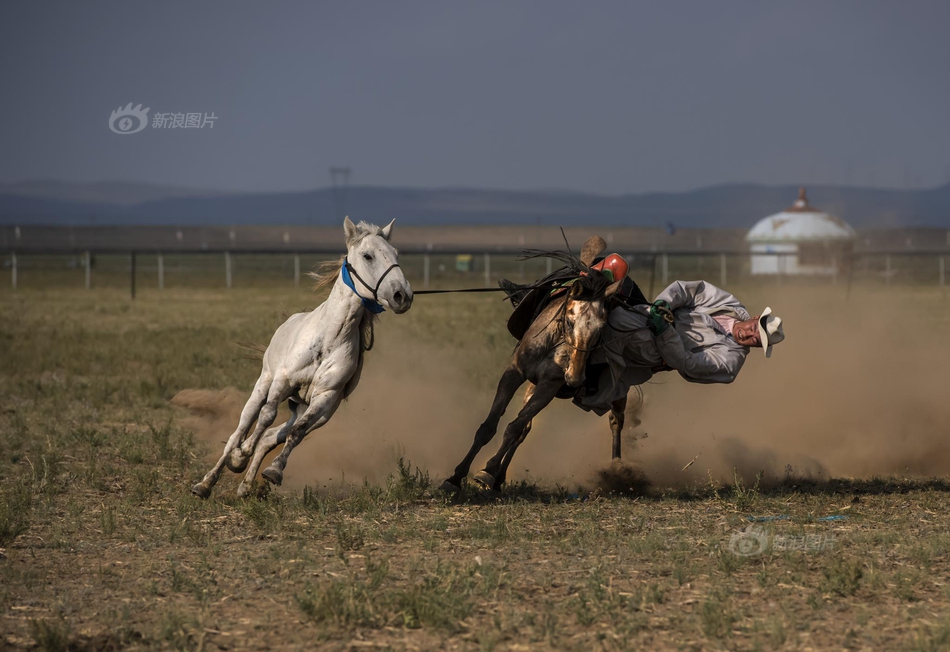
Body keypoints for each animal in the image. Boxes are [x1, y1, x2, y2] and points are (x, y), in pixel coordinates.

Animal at [192, 216, 412, 496]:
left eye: (396, 253)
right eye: (367, 255)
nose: (402, 295)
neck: (330, 337)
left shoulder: (325, 399)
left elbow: (297, 432)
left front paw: (274, 471)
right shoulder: (283, 382)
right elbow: (265, 416)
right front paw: (240, 456)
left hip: (308, 409)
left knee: (272, 437)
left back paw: (246, 485)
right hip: (262, 385)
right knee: (240, 431)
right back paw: (207, 482)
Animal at [440, 239, 620, 494]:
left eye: (601, 329)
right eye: (569, 320)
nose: (575, 378)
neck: (553, 342)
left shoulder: (549, 387)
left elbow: (514, 427)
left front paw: (487, 470)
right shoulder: (515, 373)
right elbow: (491, 427)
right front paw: (455, 478)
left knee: (615, 421)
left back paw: (618, 472)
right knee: (525, 429)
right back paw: (499, 478)